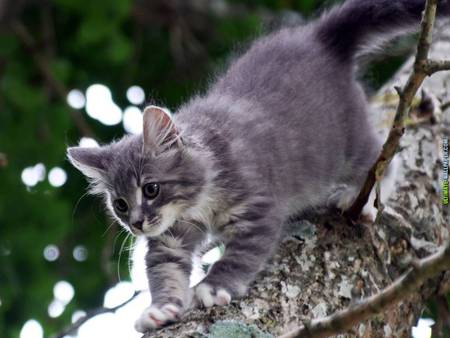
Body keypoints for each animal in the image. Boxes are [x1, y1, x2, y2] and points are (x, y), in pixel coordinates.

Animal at [67, 0, 450, 332]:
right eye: (119, 204)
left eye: (151, 189)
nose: (136, 224)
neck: (201, 195)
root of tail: (319, 36)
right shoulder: (170, 239)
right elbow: (165, 271)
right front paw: (160, 309)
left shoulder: (258, 209)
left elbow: (239, 256)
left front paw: (213, 286)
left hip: (349, 142)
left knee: (383, 159)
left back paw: (361, 197)